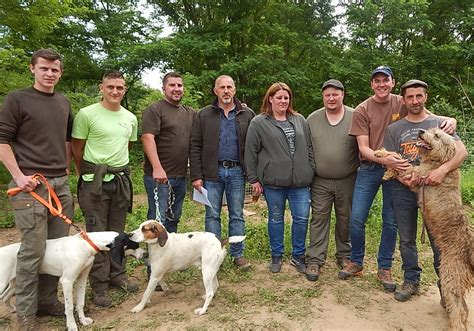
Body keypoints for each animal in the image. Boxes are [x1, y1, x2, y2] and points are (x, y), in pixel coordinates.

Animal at [416, 127, 472, 331]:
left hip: (449, 275)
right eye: (432, 130)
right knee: (463, 308)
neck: (440, 161)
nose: (421, 130)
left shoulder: (417, 174)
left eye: (437, 135)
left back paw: (455, 325)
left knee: (459, 308)